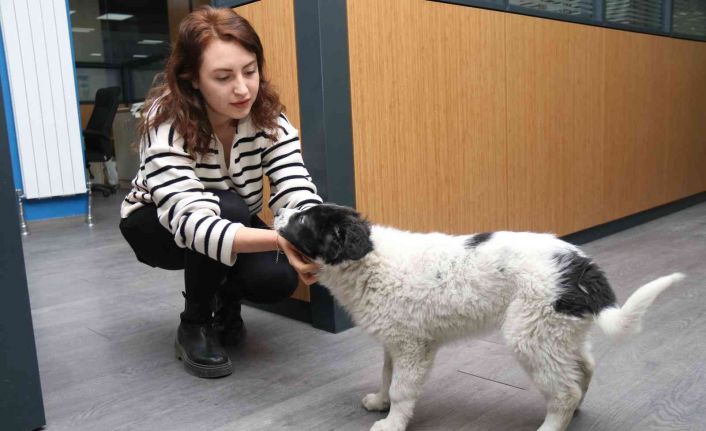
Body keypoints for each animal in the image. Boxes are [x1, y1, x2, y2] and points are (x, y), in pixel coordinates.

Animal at [275, 204, 684, 431]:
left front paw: (391, 423)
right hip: (558, 331)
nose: (277, 212)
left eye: (303, 222)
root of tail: (584, 269)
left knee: (564, 388)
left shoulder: (412, 346)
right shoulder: (396, 342)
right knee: (583, 368)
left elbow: (403, 388)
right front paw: (380, 400)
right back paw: (575, 409)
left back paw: (552, 425)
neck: (368, 261)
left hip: (529, 334)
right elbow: (387, 377)